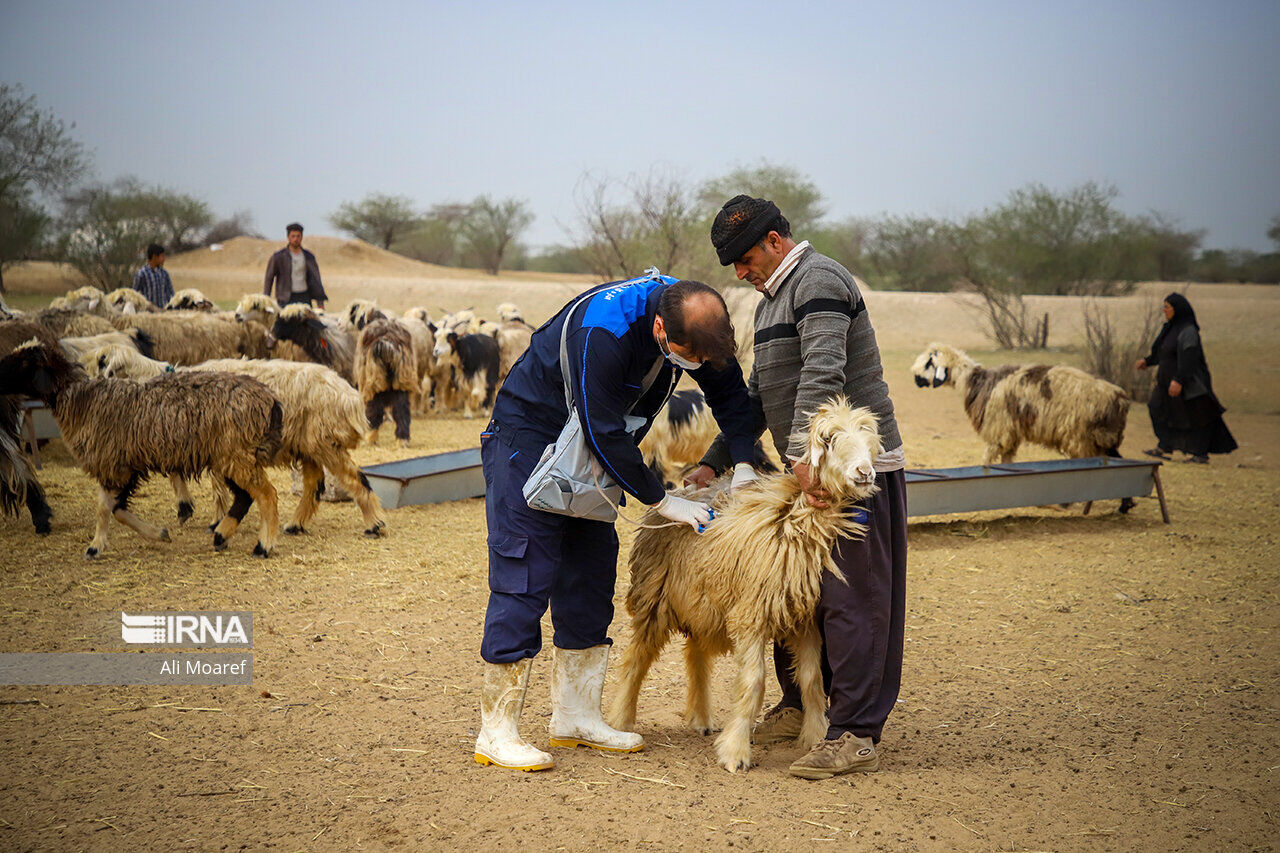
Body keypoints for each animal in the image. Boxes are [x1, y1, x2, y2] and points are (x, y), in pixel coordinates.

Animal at [0, 338, 282, 558]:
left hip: (236, 454)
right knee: (245, 497)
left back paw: (263, 546)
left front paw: (94, 547)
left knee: (266, 494)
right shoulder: (126, 466)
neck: (84, 401)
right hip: (230, 456)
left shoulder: (112, 464)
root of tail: (270, 400)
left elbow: (104, 509)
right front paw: (160, 533)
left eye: (24, 362)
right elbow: (117, 510)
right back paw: (221, 536)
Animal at [606, 397, 885, 768]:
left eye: (871, 442)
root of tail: (685, 488)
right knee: (637, 658)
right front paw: (736, 751)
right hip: (656, 596)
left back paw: (700, 718)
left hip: (704, 600)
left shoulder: (804, 619)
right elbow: (753, 683)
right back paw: (621, 719)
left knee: (695, 654)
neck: (790, 520)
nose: (864, 473)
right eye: (829, 441)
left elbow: (811, 681)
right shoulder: (750, 616)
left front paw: (815, 736)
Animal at [911, 338, 1131, 461]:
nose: (915, 377)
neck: (975, 381)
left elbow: (987, 461)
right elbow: (1005, 463)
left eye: (930, 362)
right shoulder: (1011, 435)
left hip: (1082, 437)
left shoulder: (998, 432)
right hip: (1103, 437)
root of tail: (1120, 399)